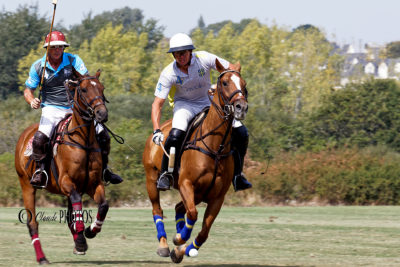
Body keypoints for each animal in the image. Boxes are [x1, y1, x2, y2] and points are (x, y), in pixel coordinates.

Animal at [14, 69, 110, 266]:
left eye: (102, 87)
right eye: (83, 89)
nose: (102, 114)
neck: (83, 140)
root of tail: (25, 134)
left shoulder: (92, 184)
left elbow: (103, 205)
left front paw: (89, 232)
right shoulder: (66, 182)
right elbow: (77, 208)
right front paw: (82, 238)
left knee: (69, 217)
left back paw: (79, 243)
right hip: (26, 184)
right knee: (32, 222)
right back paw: (42, 257)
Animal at [141, 59, 247, 264]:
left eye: (244, 84)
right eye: (224, 83)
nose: (241, 108)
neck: (215, 147)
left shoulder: (217, 196)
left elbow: (204, 231)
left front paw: (184, 250)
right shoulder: (186, 184)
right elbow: (192, 214)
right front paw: (179, 240)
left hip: (199, 194)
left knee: (178, 208)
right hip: (151, 179)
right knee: (157, 210)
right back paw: (164, 245)